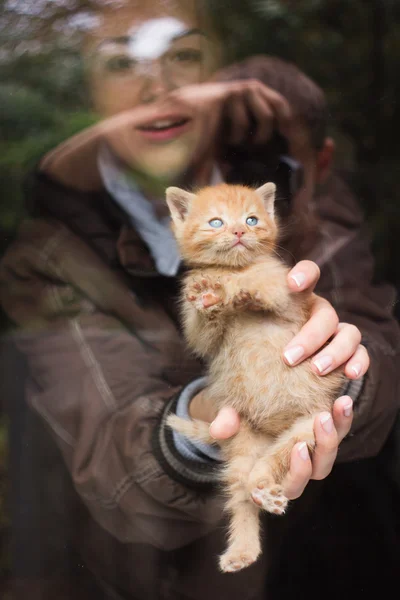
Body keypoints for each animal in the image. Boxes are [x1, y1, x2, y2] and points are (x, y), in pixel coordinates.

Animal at [166, 182, 344, 572]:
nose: (238, 232)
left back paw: (264, 489)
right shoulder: (200, 334)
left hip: (309, 426)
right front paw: (210, 296)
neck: (233, 269)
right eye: (216, 222)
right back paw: (242, 549)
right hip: (243, 442)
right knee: (241, 496)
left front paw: (243, 293)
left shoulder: (289, 295)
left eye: (251, 219)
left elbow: (266, 291)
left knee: (269, 464)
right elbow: (203, 329)